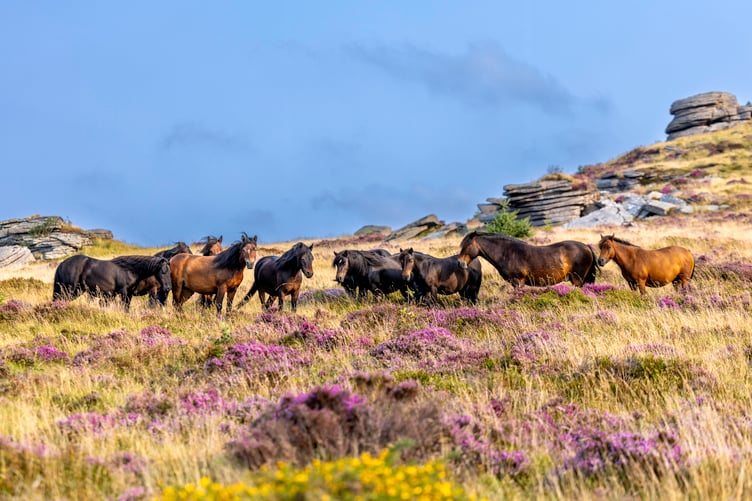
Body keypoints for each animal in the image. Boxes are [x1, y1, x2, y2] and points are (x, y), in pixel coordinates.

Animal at [458, 231, 598, 288]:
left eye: (467, 245)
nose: (460, 263)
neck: (507, 253)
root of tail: (586, 247)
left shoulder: (518, 282)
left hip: (577, 279)